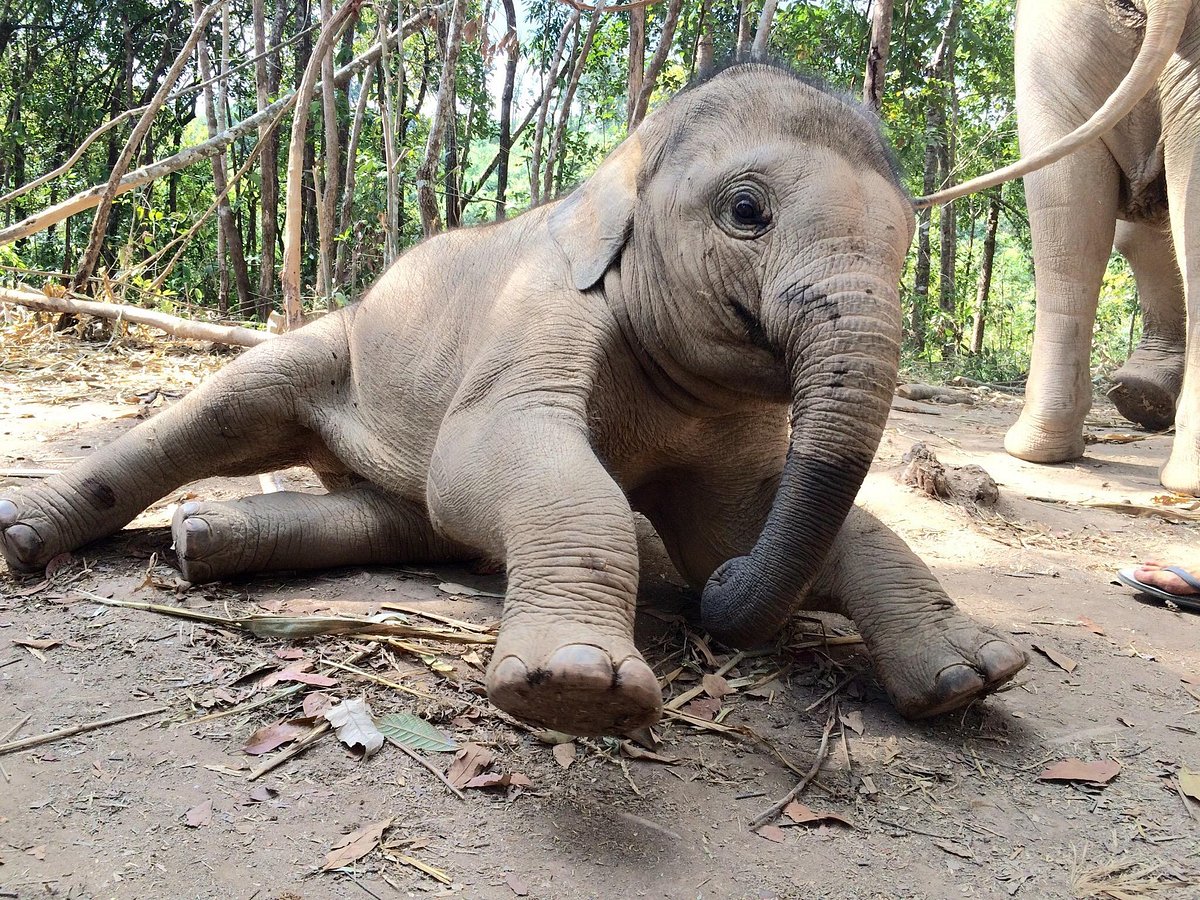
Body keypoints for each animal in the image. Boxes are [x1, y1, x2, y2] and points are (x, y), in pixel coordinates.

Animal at [4, 65, 1027, 739]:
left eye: (905, 241)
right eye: (747, 211)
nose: (710, 610)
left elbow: (736, 521)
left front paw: (972, 676)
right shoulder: (543, 309)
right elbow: (498, 454)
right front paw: (577, 689)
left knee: (405, 515)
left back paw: (201, 541)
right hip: (338, 343)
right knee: (224, 413)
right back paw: (32, 537)